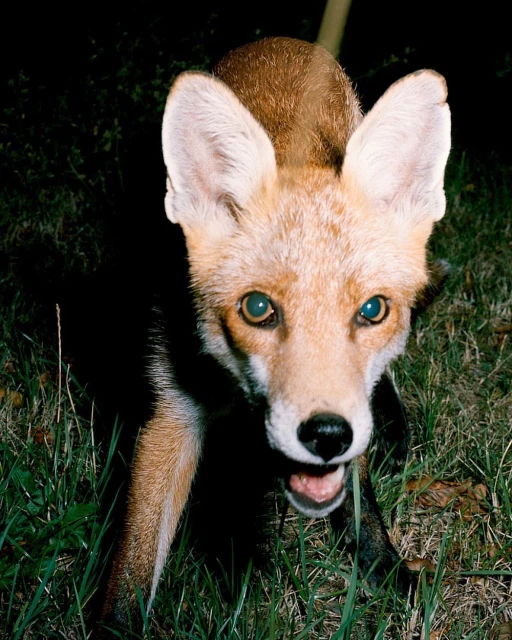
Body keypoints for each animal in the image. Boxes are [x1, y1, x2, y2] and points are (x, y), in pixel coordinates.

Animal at [99, 37, 451, 634]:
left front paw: (386, 569)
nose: (327, 435)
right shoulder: (174, 414)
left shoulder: (351, 402)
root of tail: (279, 43)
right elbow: (135, 565)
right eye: (258, 309)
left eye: (372, 310)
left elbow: (361, 507)